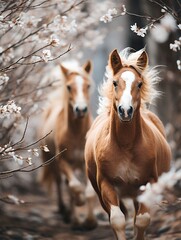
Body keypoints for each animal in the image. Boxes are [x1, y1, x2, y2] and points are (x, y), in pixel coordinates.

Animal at [39, 59, 97, 230]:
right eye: (69, 87)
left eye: (88, 85)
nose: (81, 109)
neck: (77, 134)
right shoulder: (63, 162)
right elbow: (75, 187)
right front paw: (79, 202)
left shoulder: (86, 163)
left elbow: (89, 191)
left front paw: (90, 222)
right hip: (51, 161)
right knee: (60, 183)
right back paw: (66, 213)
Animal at [84, 47, 172, 239]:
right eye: (115, 83)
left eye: (139, 84)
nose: (125, 111)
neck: (125, 146)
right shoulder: (106, 184)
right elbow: (117, 220)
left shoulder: (149, 183)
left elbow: (142, 220)